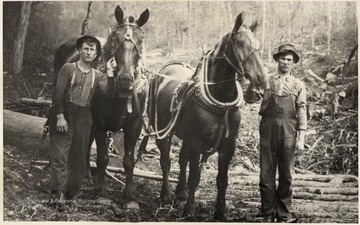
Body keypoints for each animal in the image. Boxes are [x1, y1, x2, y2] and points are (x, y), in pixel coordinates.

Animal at [52, 5, 150, 203]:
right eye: (116, 37)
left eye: (140, 40)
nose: (125, 80)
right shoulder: (100, 124)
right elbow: (103, 158)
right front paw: (101, 191)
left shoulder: (134, 125)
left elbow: (129, 161)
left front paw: (129, 194)